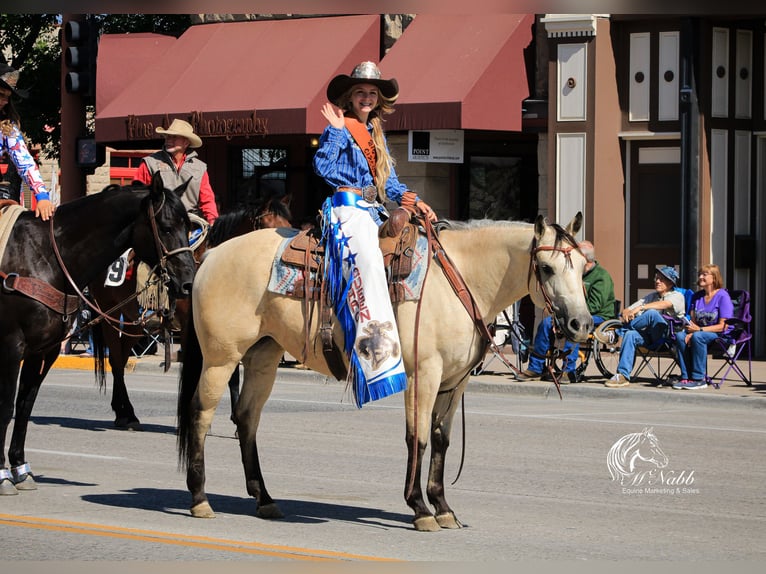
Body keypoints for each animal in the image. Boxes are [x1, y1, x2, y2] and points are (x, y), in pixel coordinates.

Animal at [0, 173, 198, 498]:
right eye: (166, 227)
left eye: (189, 227)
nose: (188, 283)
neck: (42, 257)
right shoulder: (11, 346)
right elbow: (6, 407)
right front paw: (4, 475)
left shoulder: (44, 350)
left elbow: (25, 405)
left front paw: (20, 468)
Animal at [177, 214, 592, 532]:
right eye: (546, 268)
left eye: (584, 268)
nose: (581, 324)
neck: (459, 281)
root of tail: (212, 254)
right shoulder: (424, 374)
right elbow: (417, 438)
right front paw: (420, 509)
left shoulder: (455, 383)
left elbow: (441, 441)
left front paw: (444, 508)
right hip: (221, 358)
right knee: (201, 415)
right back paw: (200, 499)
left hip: (263, 355)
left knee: (247, 419)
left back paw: (264, 499)